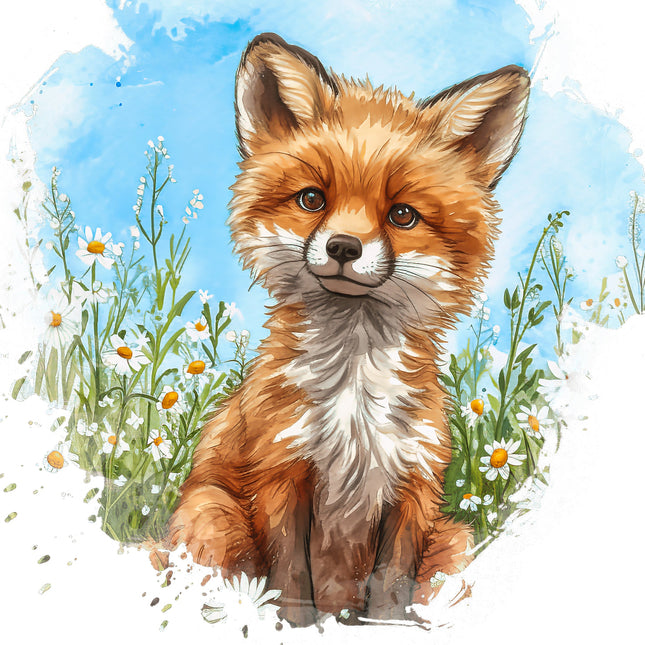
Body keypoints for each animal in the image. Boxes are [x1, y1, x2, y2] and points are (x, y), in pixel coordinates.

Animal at [167, 32, 529, 626]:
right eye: (312, 199)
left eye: (402, 215)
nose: (342, 247)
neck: (354, 396)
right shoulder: (281, 472)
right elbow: (291, 582)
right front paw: (293, 628)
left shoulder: (413, 488)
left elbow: (391, 587)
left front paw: (386, 627)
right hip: (211, 515)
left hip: (455, 540)